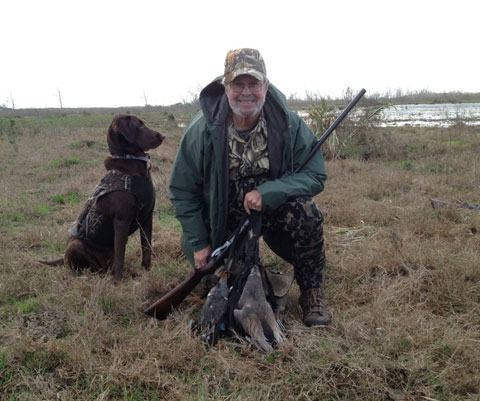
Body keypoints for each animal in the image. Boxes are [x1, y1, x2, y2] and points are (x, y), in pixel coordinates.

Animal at [45, 114, 165, 280]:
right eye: (139, 125)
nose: (163, 136)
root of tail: (62, 258)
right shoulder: (121, 221)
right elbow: (121, 255)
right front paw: (118, 281)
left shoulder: (147, 217)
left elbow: (146, 247)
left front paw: (147, 271)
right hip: (75, 245)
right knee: (94, 267)